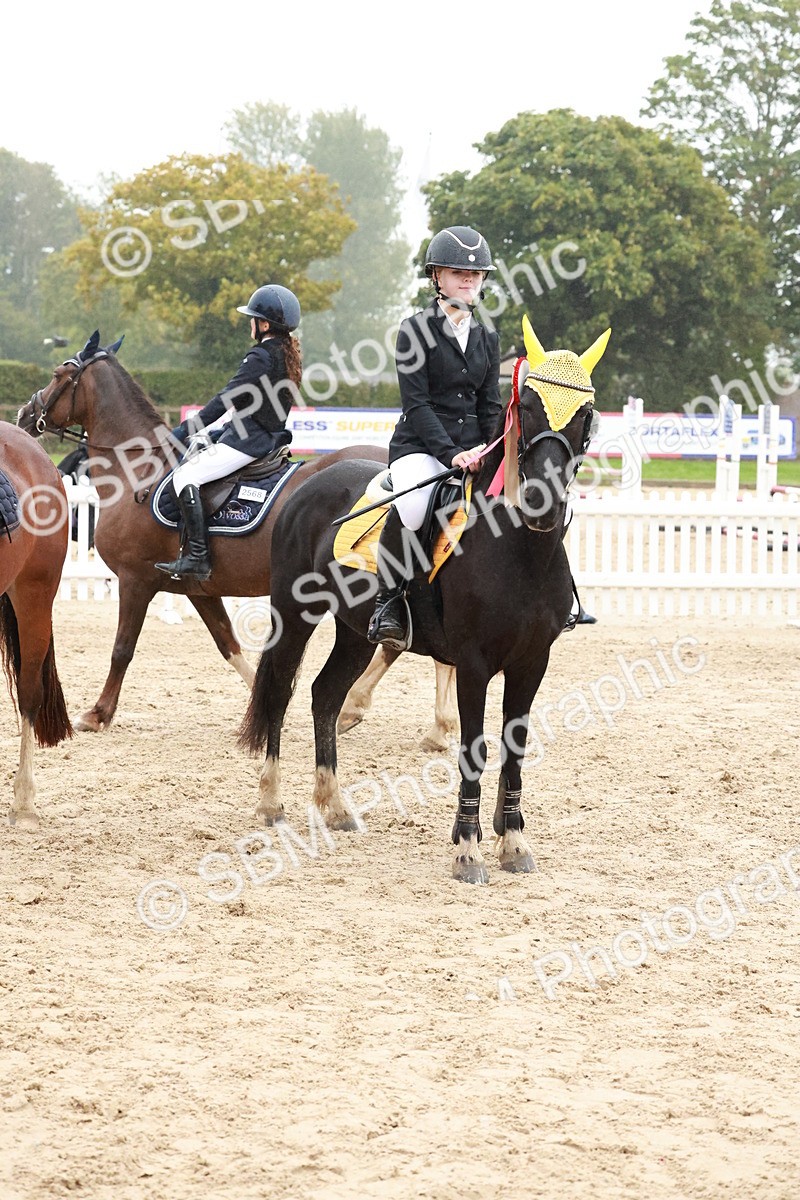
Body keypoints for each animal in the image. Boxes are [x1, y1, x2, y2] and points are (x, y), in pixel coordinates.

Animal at [16, 333, 458, 748]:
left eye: (58, 373)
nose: (24, 413)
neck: (138, 471)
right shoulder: (197, 587)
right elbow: (228, 643)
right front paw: (259, 707)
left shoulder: (135, 580)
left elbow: (122, 648)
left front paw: (98, 714)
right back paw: (436, 727)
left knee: (394, 643)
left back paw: (361, 709)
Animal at [238, 318, 610, 883]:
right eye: (526, 404)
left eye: (584, 413)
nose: (541, 501)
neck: (518, 549)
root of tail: (309, 479)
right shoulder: (475, 664)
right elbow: (475, 749)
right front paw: (468, 852)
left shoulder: (532, 662)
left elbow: (515, 748)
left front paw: (514, 842)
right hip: (295, 613)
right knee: (280, 692)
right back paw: (270, 804)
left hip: (355, 631)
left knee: (325, 695)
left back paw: (335, 806)